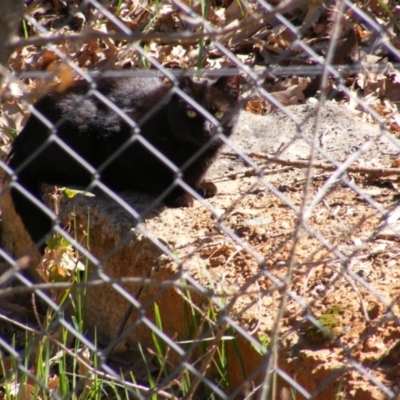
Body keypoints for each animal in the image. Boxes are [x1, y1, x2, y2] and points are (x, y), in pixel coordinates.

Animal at [7, 75, 241, 250]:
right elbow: (153, 177)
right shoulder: (119, 136)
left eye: (218, 112)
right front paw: (179, 194)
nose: (207, 129)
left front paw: (201, 185)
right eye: (191, 113)